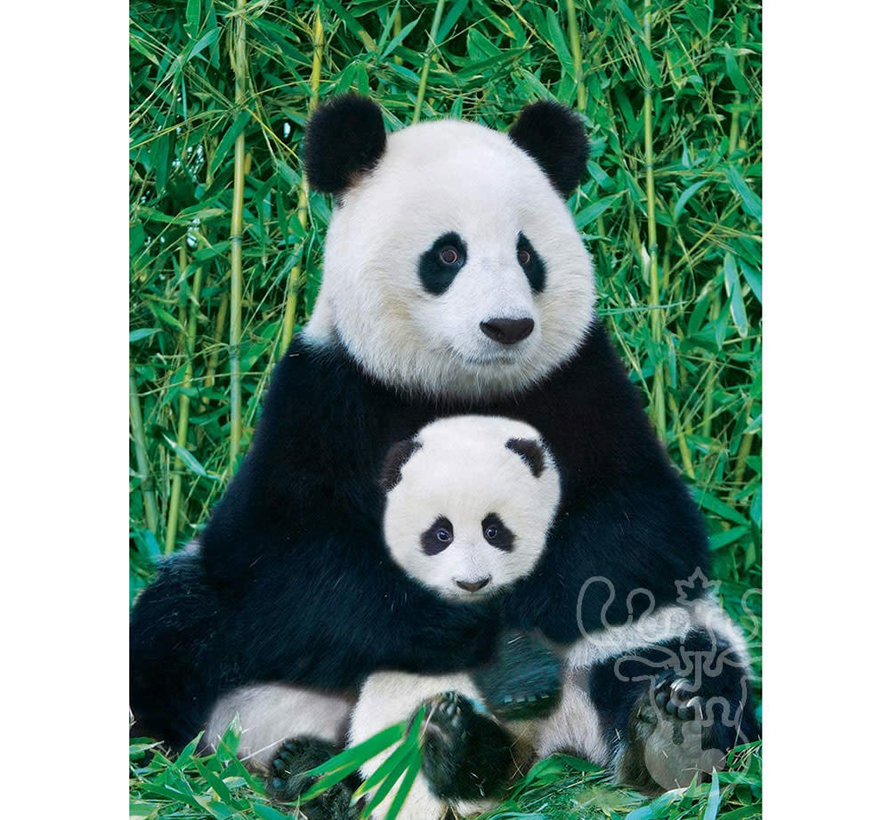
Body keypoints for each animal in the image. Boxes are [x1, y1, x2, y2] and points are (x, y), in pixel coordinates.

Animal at [129, 95, 759, 798]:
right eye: (449, 254)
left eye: (527, 255)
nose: (507, 326)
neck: (459, 388)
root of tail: (546, 744)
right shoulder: (326, 396)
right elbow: (291, 558)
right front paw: (470, 626)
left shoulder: (584, 384)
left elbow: (636, 528)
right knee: (176, 631)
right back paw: (317, 769)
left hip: (660, 635)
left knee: (681, 654)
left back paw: (667, 733)